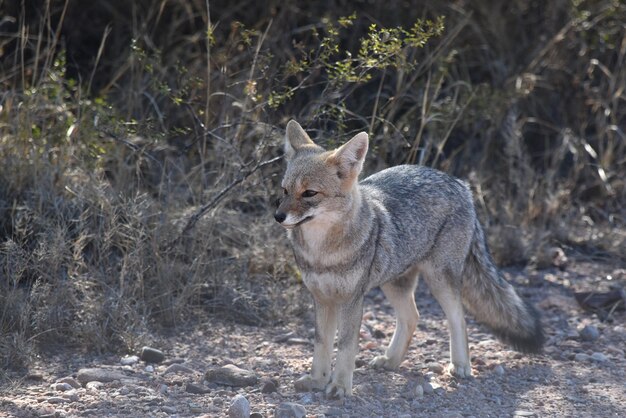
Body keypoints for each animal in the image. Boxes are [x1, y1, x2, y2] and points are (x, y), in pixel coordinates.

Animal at [272, 119, 540, 396]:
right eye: (285, 190)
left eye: (309, 193)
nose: (278, 216)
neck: (322, 253)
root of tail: (460, 184)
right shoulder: (322, 298)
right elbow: (322, 344)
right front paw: (317, 380)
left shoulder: (351, 299)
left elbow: (345, 346)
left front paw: (340, 386)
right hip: (395, 283)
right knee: (412, 317)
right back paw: (392, 360)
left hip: (439, 280)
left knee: (458, 318)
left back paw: (460, 365)